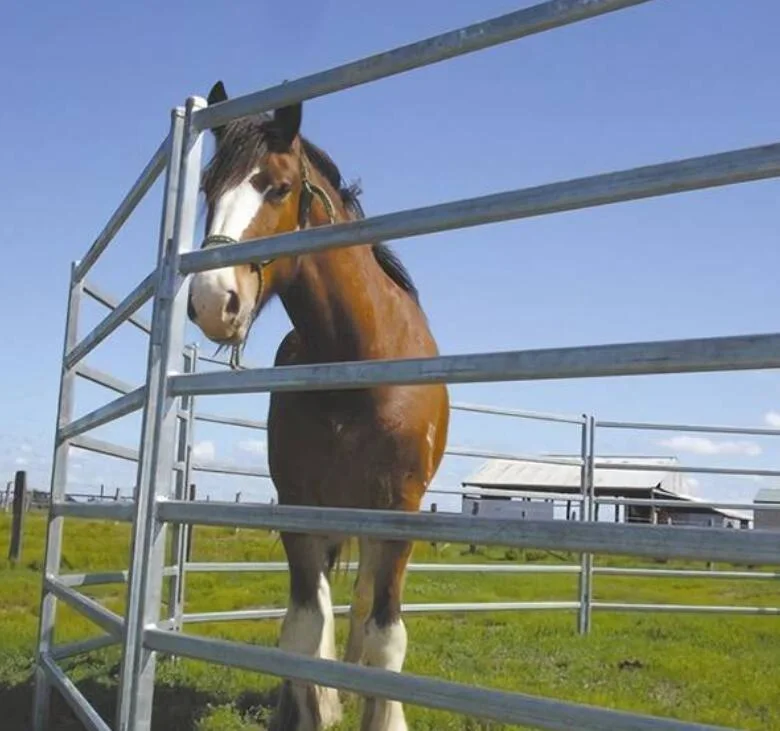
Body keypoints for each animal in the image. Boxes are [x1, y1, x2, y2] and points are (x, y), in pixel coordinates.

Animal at [185, 81, 448, 731]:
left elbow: (384, 634)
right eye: (207, 190)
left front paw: (381, 712)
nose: (212, 300)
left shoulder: (398, 512)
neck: (356, 363)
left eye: (277, 186)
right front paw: (309, 707)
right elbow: (303, 628)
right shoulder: (300, 505)